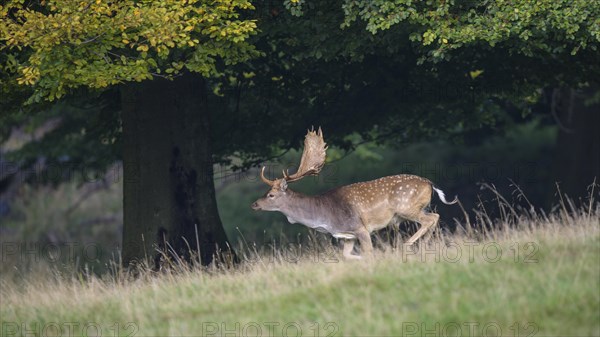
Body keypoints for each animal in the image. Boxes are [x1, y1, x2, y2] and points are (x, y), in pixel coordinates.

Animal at [251, 127, 458, 258]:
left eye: (271, 195)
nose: (254, 204)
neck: (325, 219)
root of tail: (430, 183)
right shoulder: (347, 236)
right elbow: (347, 256)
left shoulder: (360, 228)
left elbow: (369, 253)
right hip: (418, 207)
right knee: (435, 216)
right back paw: (423, 245)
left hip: (407, 207)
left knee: (430, 218)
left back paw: (407, 245)